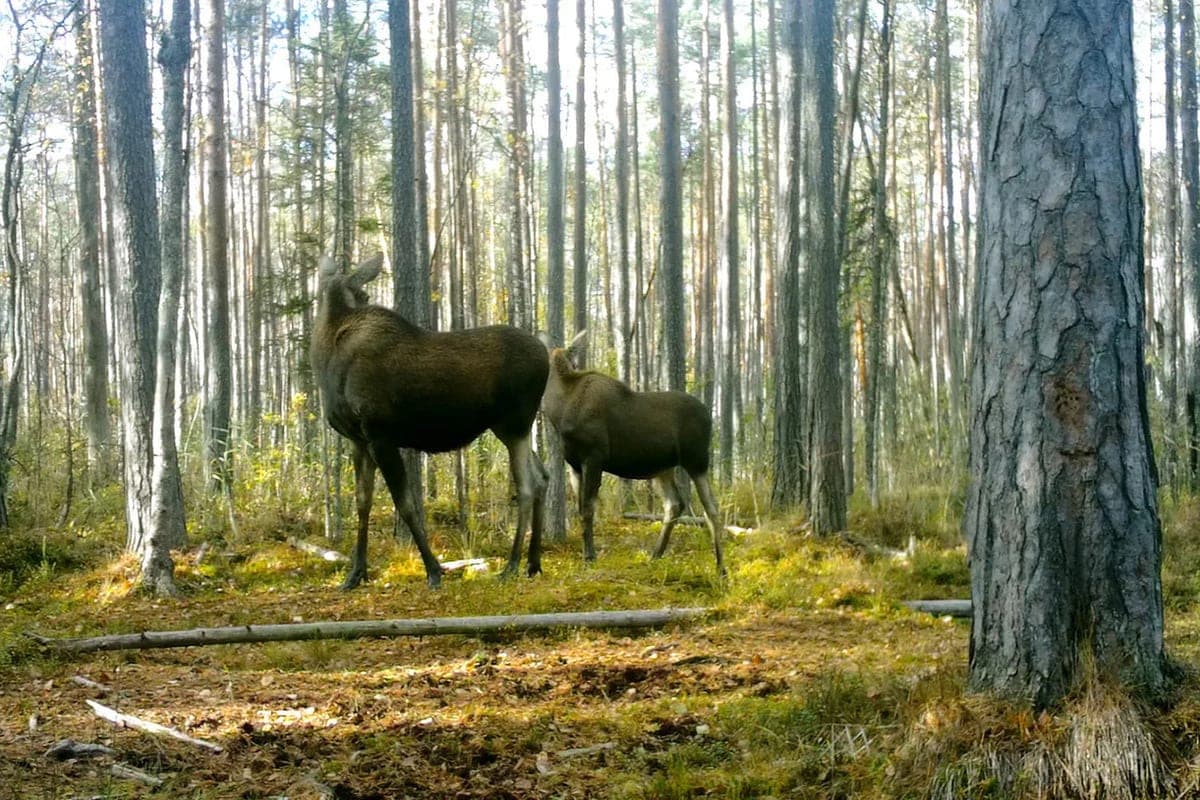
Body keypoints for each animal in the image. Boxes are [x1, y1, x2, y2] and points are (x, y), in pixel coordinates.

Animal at [310, 252, 549, 589]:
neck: (326, 361)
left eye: (364, 295)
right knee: (542, 478)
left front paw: (434, 570)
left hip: (516, 423)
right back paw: (533, 563)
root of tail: (548, 355)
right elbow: (362, 502)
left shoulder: (380, 434)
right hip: (511, 428)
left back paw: (512, 564)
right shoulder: (358, 440)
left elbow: (406, 504)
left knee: (527, 485)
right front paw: (355, 574)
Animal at [539, 331, 726, 577]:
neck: (560, 412)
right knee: (675, 504)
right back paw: (656, 555)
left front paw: (590, 557)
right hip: (664, 468)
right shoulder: (573, 465)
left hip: (696, 460)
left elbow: (588, 508)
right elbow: (580, 510)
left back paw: (721, 567)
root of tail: (710, 416)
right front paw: (585, 554)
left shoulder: (594, 457)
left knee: (711, 509)